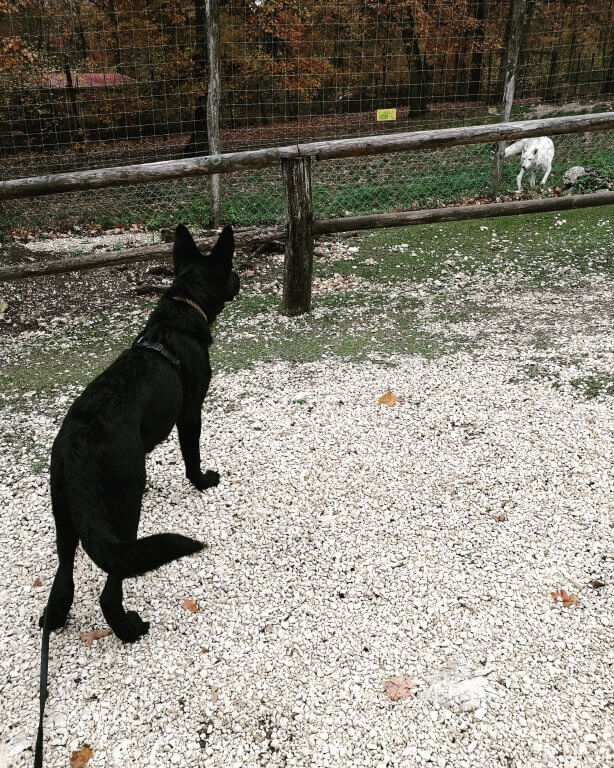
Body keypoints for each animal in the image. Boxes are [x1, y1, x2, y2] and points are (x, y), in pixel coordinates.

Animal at [40, 224, 239, 642]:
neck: (181, 314)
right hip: (124, 506)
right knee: (110, 587)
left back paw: (55, 616)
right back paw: (128, 628)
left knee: (64, 575)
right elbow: (191, 454)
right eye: (230, 268)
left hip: (65, 513)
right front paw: (202, 481)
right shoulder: (190, 412)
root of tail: (78, 444)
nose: (240, 278)